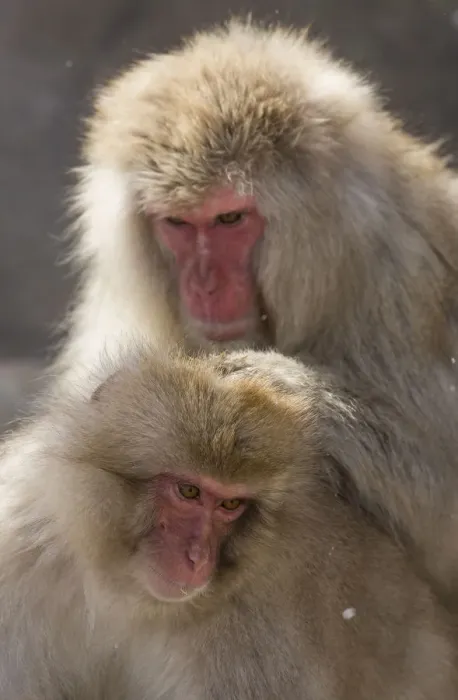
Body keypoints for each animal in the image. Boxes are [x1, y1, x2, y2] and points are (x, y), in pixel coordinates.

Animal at [0, 345, 457, 699]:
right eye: (188, 491)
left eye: (231, 504)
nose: (197, 559)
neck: (127, 595)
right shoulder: (22, 556)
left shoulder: (254, 639)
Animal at [51, 18, 458, 595]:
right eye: (178, 223)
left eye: (229, 219)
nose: (202, 285)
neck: (334, 264)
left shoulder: (403, 280)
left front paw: (300, 393)